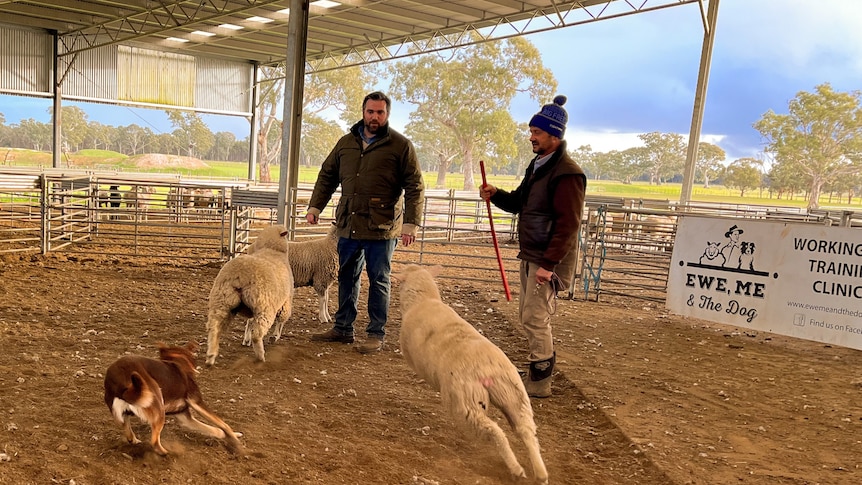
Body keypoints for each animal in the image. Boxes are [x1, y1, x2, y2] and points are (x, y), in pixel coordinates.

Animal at [107, 340, 246, 454]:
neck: (177, 361)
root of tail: (119, 384)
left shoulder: (184, 416)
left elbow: (216, 430)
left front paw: (233, 435)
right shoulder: (197, 402)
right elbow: (224, 425)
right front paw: (237, 442)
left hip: (124, 414)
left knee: (129, 434)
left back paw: (135, 441)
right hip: (158, 406)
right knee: (154, 442)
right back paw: (168, 453)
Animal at [207, 225, 296, 364]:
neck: (272, 250)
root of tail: (240, 275)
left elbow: (249, 322)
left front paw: (246, 339)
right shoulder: (285, 302)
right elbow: (281, 320)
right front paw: (275, 336)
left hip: (221, 300)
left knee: (214, 327)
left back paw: (211, 356)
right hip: (264, 306)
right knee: (257, 333)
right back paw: (260, 356)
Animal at [396, 264, 552, 484]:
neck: (424, 300)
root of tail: (485, 366)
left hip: (466, 402)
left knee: (494, 430)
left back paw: (516, 469)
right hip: (514, 394)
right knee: (526, 429)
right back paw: (540, 473)